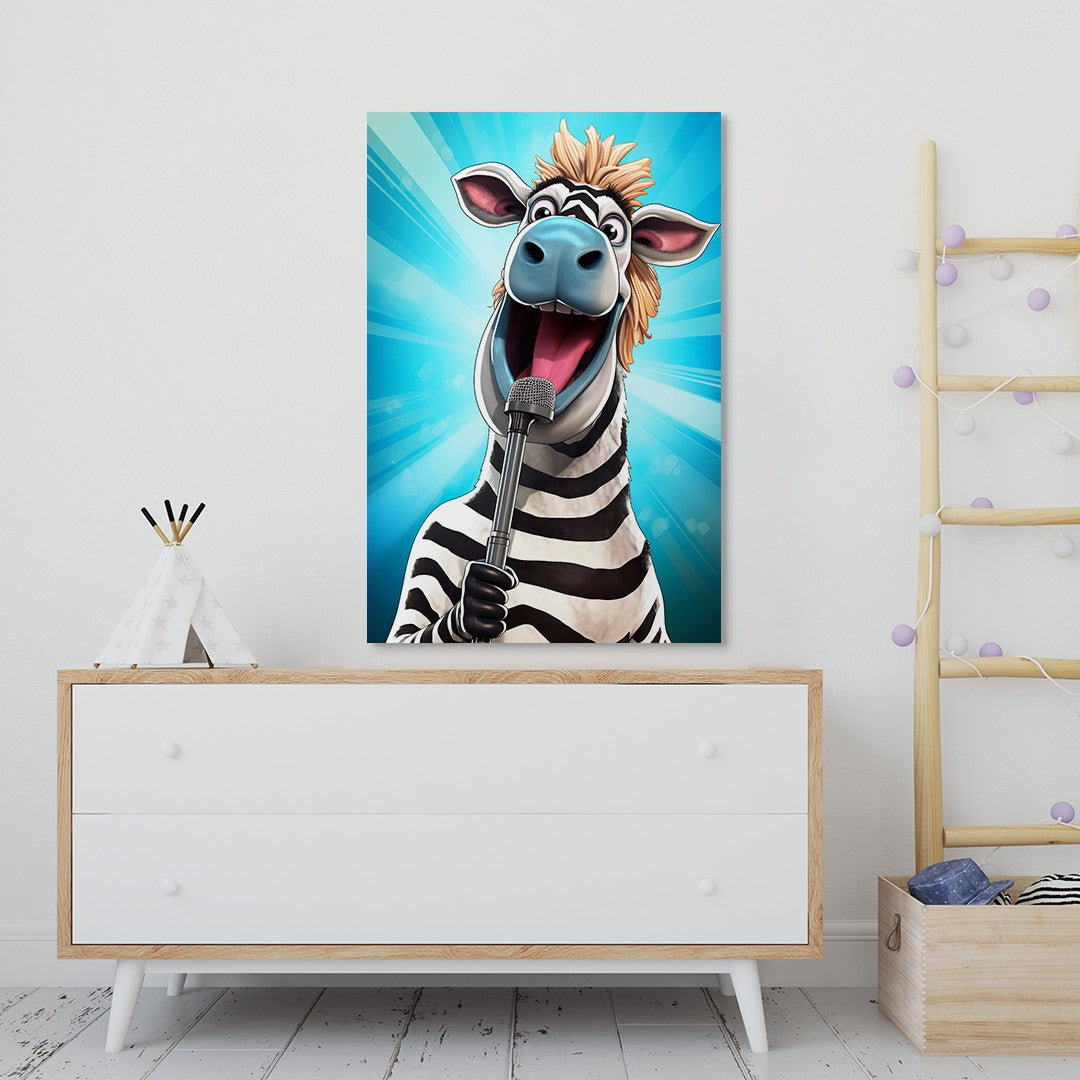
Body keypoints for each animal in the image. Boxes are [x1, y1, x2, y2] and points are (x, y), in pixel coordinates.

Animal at [387, 121, 718, 643]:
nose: (562, 244)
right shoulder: (428, 552)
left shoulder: (654, 630)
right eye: (538, 212)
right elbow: (418, 629)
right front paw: (476, 601)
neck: (554, 506)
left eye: (614, 231)